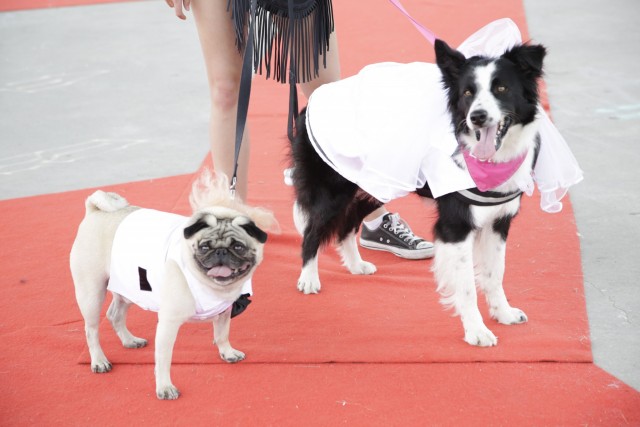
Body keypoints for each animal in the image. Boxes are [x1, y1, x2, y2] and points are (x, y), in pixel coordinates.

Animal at [70, 172, 278, 400]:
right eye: (204, 247)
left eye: (238, 247)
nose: (221, 252)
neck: (212, 286)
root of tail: (94, 211)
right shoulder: (168, 324)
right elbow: (164, 359)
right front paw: (164, 387)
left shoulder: (224, 311)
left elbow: (222, 334)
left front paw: (227, 352)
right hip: (92, 293)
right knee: (91, 329)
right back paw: (99, 360)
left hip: (128, 287)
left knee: (115, 315)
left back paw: (130, 340)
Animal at [290, 39, 544, 348]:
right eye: (468, 93)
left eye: (502, 88)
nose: (477, 117)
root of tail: (309, 105)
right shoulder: (455, 225)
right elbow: (467, 286)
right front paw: (477, 331)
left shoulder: (499, 221)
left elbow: (495, 272)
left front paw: (503, 313)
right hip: (334, 191)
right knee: (312, 231)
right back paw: (308, 278)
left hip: (373, 185)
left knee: (345, 227)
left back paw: (356, 265)